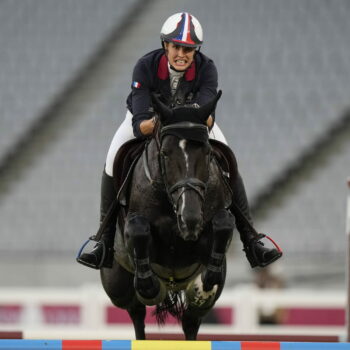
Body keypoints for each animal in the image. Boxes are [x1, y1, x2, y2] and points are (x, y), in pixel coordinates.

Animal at [100, 91, 238, 340]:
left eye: (207, 152)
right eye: (165, 153)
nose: (189, 220)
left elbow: (224, 224)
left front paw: (207, 280)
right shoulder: (136, 234)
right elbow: (138, 230)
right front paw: (150, 286)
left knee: (191, 320)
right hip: (117, 285)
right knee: (136, 312)